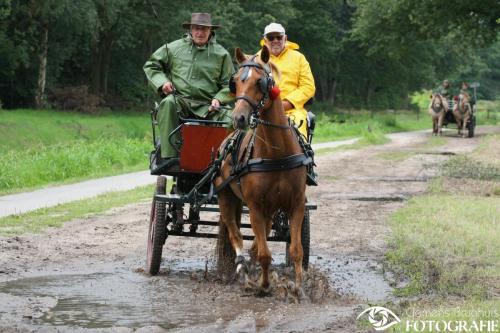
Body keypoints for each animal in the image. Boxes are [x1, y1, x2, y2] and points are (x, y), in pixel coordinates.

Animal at [215, 46, 308, 294]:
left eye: (261, 82)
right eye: (235, 82)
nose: (239, 117)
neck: (277, 154)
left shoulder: (297, 203)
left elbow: (296, 249)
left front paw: (298, 285)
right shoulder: (255, 205)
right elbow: (264, 253)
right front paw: (264, 285)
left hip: (270, 208)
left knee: (260, 236)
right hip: (225, 197)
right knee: (235, 233)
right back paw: (242, 268)